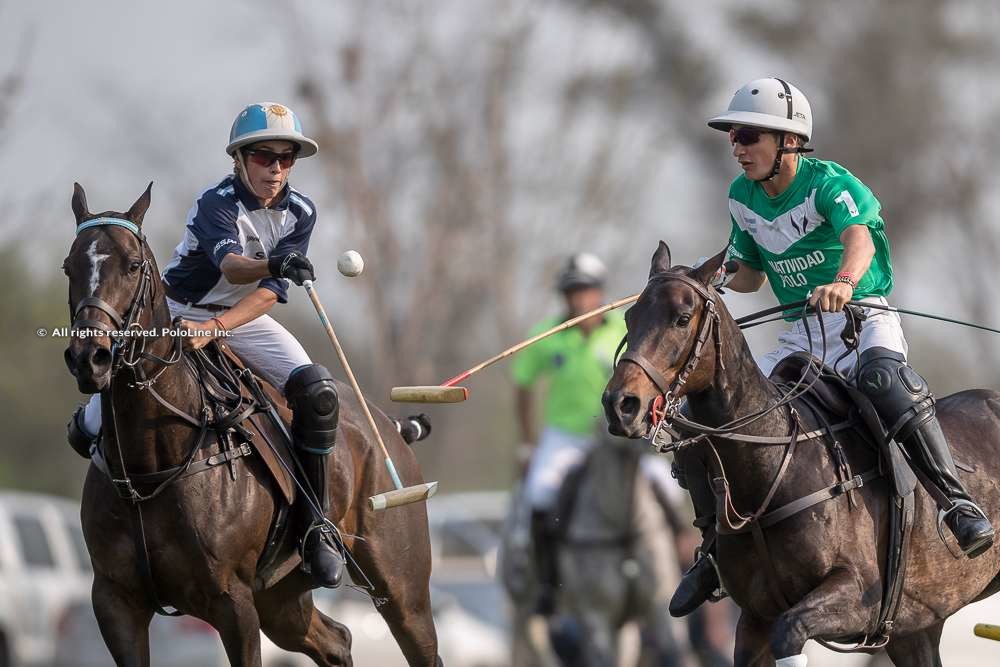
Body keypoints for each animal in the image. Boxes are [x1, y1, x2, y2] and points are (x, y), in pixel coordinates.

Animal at [60, 184, 440, 667]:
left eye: (131, 265)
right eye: (69, 266)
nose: (90, 358)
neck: (152, 462)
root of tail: (389, 428)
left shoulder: (232, 602)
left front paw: (288, 265)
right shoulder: (115, 601)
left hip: (403, 585)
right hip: (280, 598)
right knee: (336, 641)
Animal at [600, 244, 1000, 667]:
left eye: (681, 318)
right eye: (629, 316)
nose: (620, 404)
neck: (771, 468)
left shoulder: (860, 596)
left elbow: (790, 630)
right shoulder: (755, 618)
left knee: (884, 378)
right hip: (916, 627)